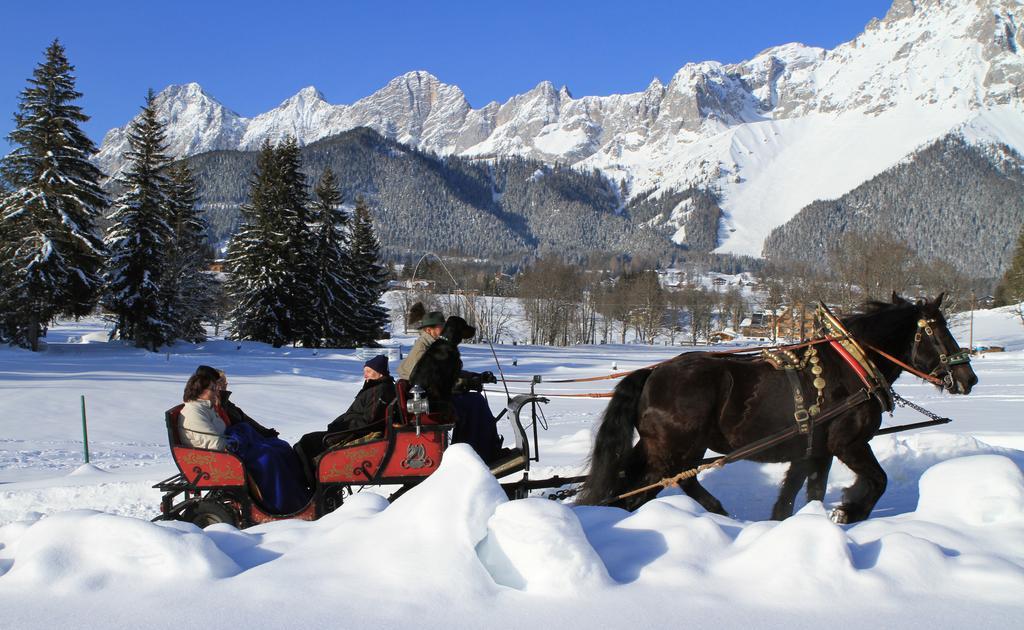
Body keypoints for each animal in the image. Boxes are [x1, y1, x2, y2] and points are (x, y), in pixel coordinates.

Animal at [577, 295, 974, 522]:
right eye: (939, 331)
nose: (968, 378)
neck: (852, 366)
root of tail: (653, 373)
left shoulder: (815, 450)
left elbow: (801, 493)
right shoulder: (849, 443)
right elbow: (878, 480)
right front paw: (848, 511)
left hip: (659, 446)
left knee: (639, 479)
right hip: (677, 449)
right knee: (652, 486)